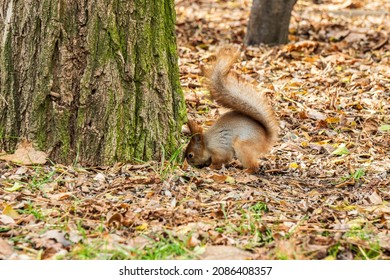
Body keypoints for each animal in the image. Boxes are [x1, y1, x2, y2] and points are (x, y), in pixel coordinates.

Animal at [185, 45, 278, 173]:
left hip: (243, 146)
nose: (188, 164)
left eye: (190, 155)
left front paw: (211, 167)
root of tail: (266, 139)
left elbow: (220, 161)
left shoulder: (219, 149)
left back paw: (246, 171)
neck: (207, 144)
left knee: (254, 166)